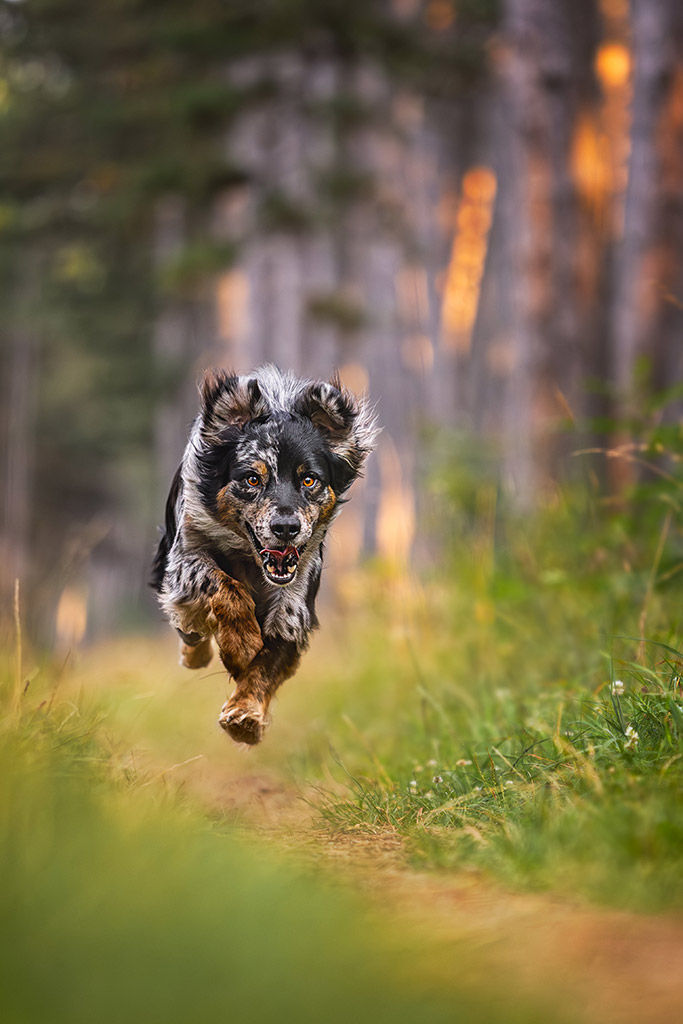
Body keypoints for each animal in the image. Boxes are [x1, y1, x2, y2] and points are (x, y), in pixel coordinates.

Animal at [148, 366, 378, 745]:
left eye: (309, 480)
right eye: (252, 479)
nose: (286, 527)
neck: (249, 558)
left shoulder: (294, 607)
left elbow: (268, 663)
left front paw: (245, 712)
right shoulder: (185, 557)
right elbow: (225, 587)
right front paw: (241, 645)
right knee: (190, 627)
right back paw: (195, 649)